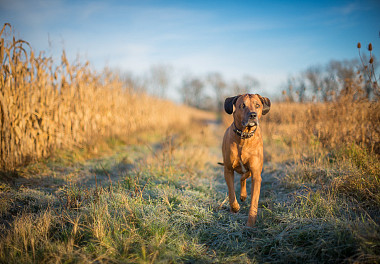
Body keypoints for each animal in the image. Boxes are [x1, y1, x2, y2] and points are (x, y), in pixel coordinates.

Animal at [221, 93, 272, 227]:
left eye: (257, 105)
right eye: (242, 105)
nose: (253, 115)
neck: (244, 136)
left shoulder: (256, 174)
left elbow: (254, 200)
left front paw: (250, 223)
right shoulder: (228, 170)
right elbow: (231, 192)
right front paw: (235, 207)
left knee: (244, 176)